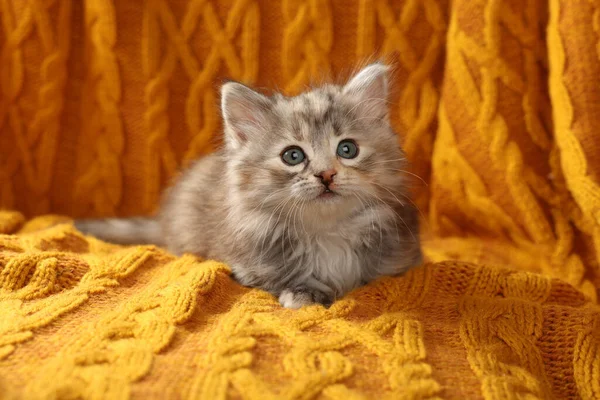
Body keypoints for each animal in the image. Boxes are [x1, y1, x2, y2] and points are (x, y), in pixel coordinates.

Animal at [75, 62, 422, 308]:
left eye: (347, 149)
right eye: (293, 156)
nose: (326, 174)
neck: (328, 234)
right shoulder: (247, 262)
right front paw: (306, 292)